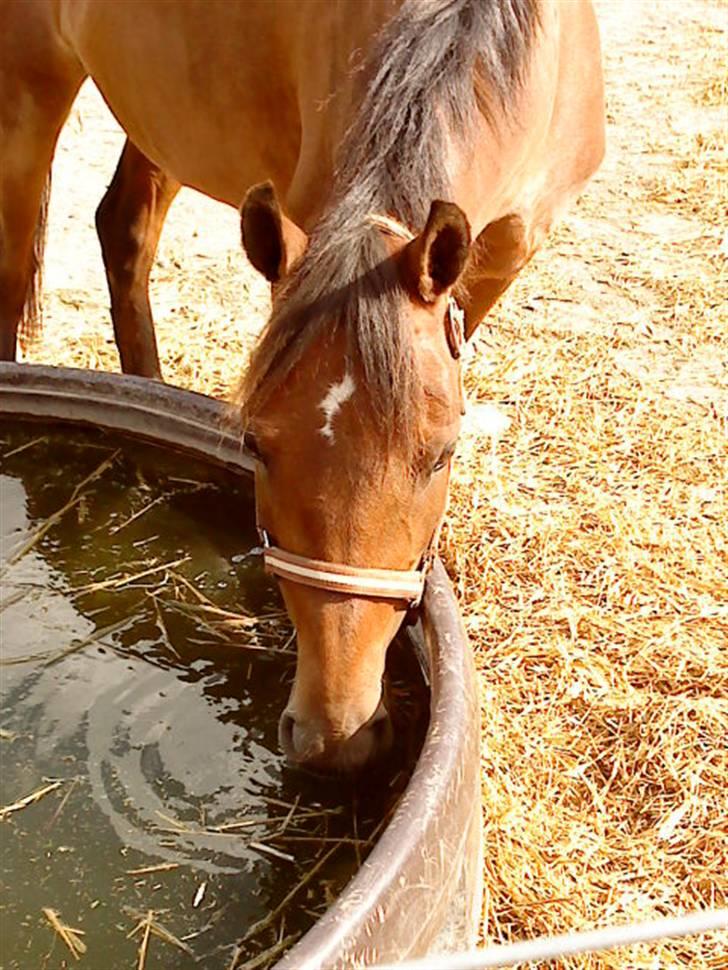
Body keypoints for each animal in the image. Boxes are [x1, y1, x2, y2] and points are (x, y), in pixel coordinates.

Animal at [0, 0, 604, 772]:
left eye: (441, 454)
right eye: (256, 446)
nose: (335, 735)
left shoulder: (502, 255)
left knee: (124, 228)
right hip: (27, 89)